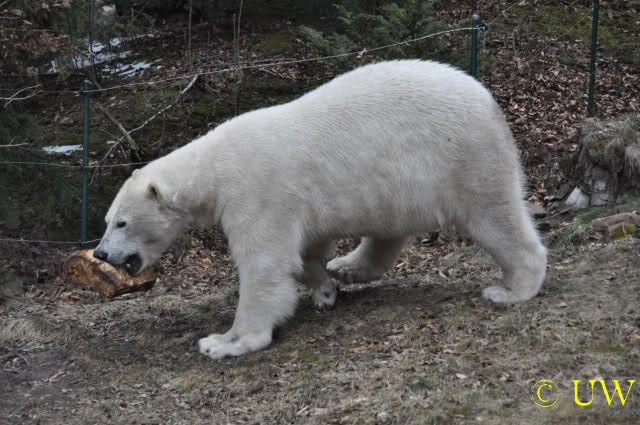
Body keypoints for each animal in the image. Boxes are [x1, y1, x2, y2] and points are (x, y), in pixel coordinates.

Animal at [94, 59, 547, 360]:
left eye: (122, 222)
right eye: (106, 221)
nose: (100, 252)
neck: (213, 169)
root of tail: (489, 100)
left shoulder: (257, 193)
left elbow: (265, 265)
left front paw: (225, 341)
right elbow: (306, 252)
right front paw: (325, 289)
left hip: (463, 157)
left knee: (494, 216)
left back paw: (512, 289)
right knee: (387, 228)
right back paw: (348, 267)